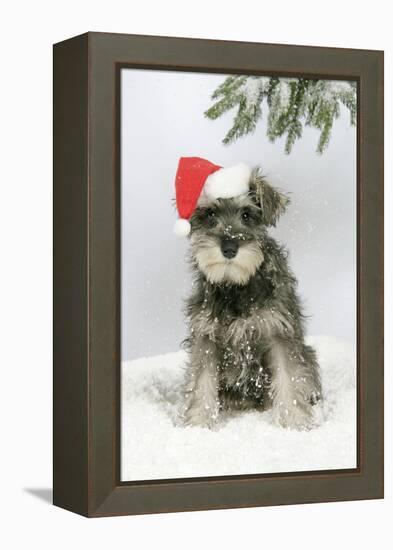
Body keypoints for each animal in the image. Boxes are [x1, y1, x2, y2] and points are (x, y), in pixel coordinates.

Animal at [182, 167, 320, 432]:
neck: (236, 286)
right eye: (210, 213)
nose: (229, 248)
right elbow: (202, 381)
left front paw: (295, 421)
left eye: (247, 214)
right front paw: (199, 422)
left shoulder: (279, 332)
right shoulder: (205, 336)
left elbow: (289, 378)